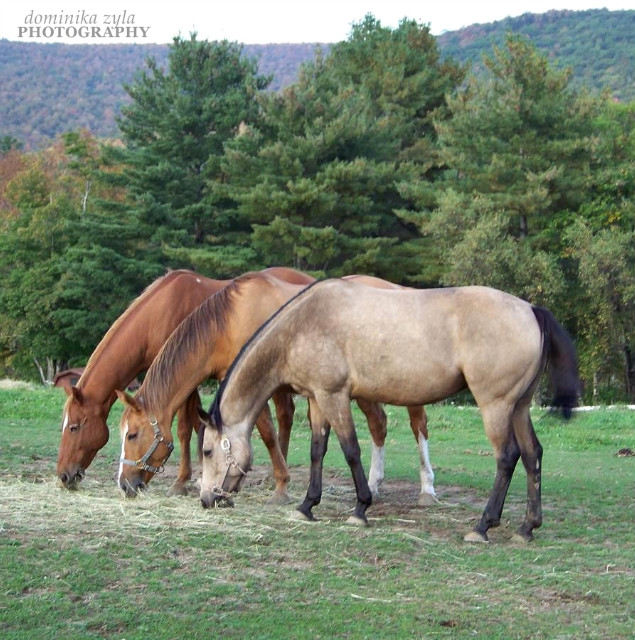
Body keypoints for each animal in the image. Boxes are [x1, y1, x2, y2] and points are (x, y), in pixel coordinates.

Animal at [55, 266, 314, 496]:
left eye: (74, 427)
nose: (64, 476)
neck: (160, 313)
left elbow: (185, 429)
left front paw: (183, 481)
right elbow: (197, 426)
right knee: (286, 414)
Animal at [115, 272, 438, 508]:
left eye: (132, 435)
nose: (124, 484)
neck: (228, 322)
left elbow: (266, 432)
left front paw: (280, 487)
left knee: (417, 424)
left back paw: (427, 489)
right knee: (378, 424)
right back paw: (374, 485)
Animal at [200, 278, 580, 544]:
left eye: (206, 450)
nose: (206, 499)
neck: (301, 326)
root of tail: (531, 309)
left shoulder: (335, 396)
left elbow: (350, 450)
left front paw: (360, 509)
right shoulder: (317, 398)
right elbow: (317, 451)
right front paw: (307, 506)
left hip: (496, 407)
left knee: (508, 457)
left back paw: (483, 526)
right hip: (519, 407)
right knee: (532, 455)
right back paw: (527, 527)